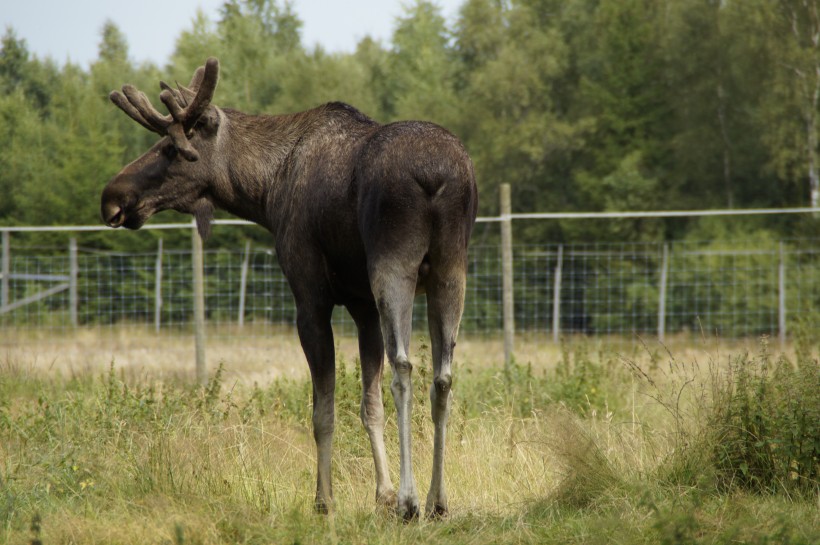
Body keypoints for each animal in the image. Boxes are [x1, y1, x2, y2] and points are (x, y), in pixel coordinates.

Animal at [99, 58, 478, 520]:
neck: (265, 190)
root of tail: (435, 176)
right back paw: (438, 500)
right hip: (451, 269)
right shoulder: (362, 305)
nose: (113, 197)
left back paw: (411, 500)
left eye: (170, 149)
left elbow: (323, 410)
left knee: (404, 367)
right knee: (443, 376)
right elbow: (369, 406)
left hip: (394, 265)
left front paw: (326, 500)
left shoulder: (309, 295)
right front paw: (381, 495)